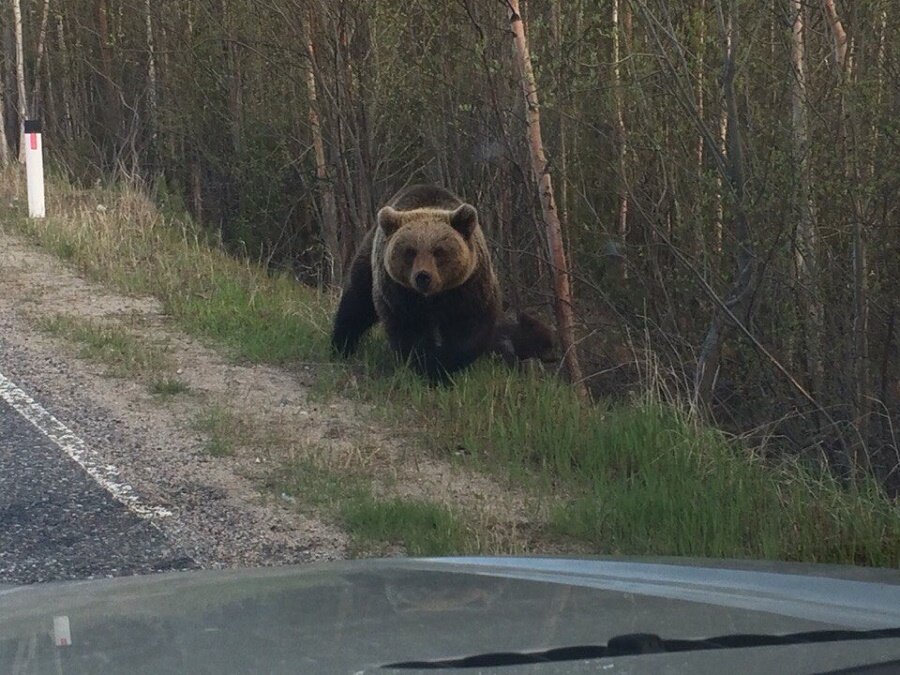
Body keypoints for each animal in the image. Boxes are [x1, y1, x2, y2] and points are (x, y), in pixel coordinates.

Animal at [330, 185, 502, 382]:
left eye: (438, 251)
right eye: (410, 251)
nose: (423, 276)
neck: (433, 298)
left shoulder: (469, 288)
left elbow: (469, 330)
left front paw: (446, 366)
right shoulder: (400, 295)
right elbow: (411, 334)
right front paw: (427, 367)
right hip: (369, 266)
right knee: (356, 304)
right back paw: (340, 347)